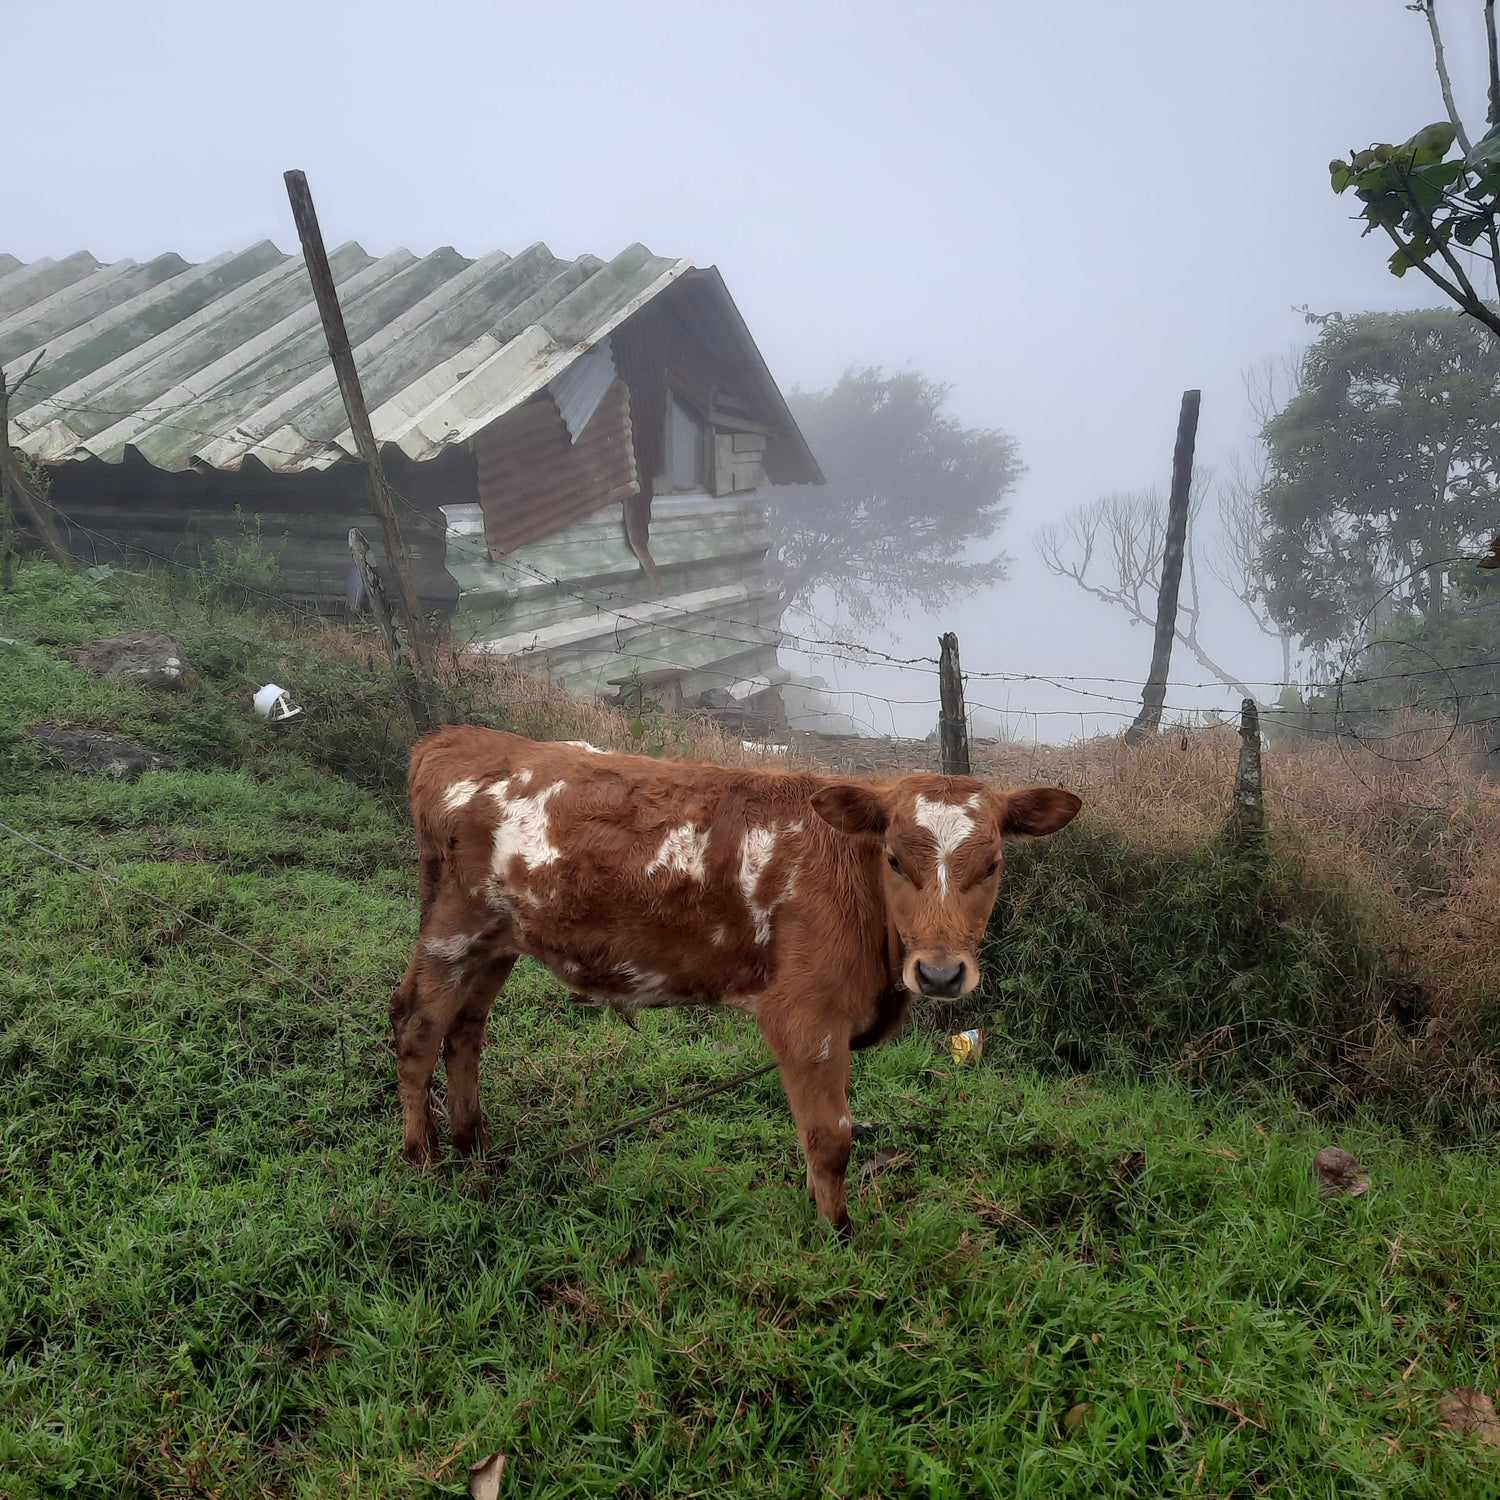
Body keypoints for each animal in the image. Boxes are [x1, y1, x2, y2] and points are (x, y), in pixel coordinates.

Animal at [393, 726, 1086, 1230]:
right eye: (893, 859)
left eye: (993, 864)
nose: (941, 973)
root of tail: (455, 738)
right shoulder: (804, 1017)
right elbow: (830, 1138)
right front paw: (838, 1237)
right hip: (454, 931)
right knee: (417, 1027)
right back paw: (421, 1159)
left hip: (496, 943)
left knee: (466, 1031)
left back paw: (473, 1143)